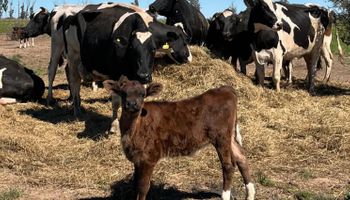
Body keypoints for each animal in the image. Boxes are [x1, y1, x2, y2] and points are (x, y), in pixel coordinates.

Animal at [103, 75, 254, 200]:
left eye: (142, 94)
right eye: (123, 93)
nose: (132, 104)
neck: (133, 128)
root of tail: (225, 89)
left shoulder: (149, 158)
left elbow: (143, 188)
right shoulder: (137, 159)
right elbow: (135, 184)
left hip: (221, 137)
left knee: (228, 165)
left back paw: (226, 195)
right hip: (229, 136)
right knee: (241, 157)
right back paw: (250, 195)